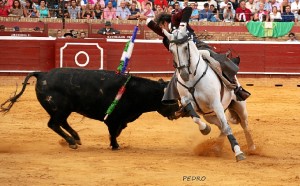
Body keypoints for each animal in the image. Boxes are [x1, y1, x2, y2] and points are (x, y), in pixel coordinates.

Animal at [0, 68, 178, 150]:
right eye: (171, 99)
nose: (178, 112)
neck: (134, 91)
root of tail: (42, 74)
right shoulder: (113, 119)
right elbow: (113, 133)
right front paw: (115, 146)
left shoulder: (120, 120)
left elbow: (117, 131)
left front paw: (113, 143)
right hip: (60, 109)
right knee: (53, 124)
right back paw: (72, 142)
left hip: (64, 109)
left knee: (61, 123)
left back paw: (76, 138)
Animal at [164, 27, 255, 161]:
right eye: (171, 50)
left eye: (186, 47)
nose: (184, 74)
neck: (193, 76)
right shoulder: (189, 102)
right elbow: (195, 117)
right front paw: (205, 129)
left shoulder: (216, 103)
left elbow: (227, 127)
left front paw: (238, 152)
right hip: (210, 115)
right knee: (222, 126)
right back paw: (217, 148)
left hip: (239, 106)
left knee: (244, 125)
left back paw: (252, 148)